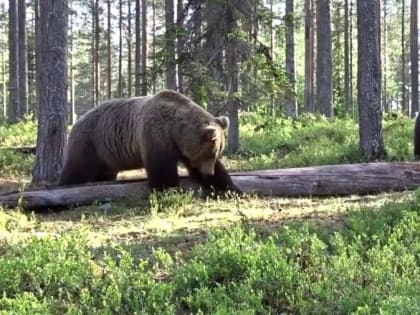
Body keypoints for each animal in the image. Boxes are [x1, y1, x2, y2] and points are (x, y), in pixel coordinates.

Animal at [59, 89, 243, 195]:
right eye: (210, 153)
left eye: (217, 152)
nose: (209, 173)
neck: (174, 130)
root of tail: (76, 122)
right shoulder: (156, 134)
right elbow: (161, 169)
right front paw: (169, 189)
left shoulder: (181, 146)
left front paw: (231, 187)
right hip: (90, 142)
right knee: (77, 168)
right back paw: (66, 184)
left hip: (107, 156)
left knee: (104, 173)